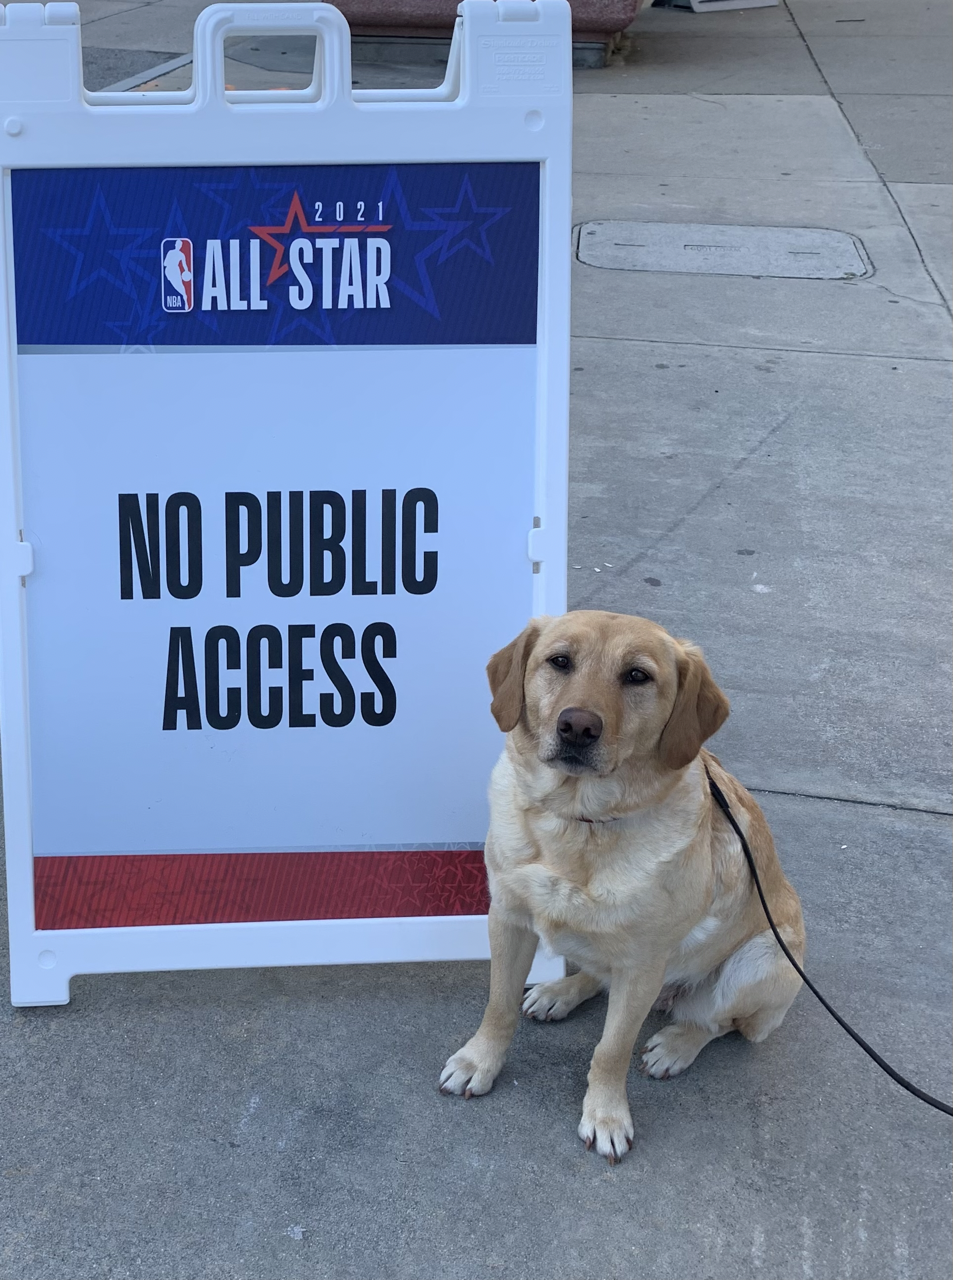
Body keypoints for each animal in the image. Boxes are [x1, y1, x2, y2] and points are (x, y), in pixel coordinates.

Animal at [437, 609, 803, 1162]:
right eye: (559, 661)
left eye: (637, 676)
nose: (577, 726)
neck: (581, 822)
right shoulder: (508, 917)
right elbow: (498, 1006)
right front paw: (480, 1061)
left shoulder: (643, 965)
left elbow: (612, 1049)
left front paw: (606, 1114)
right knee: (597, 972)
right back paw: (561, 991)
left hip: (765, 960)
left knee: (717, 1022)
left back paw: (676, 1045)